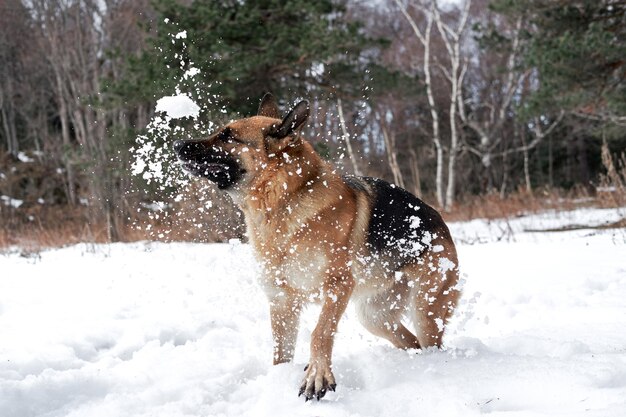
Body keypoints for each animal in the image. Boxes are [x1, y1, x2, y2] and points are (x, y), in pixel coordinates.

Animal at [174, 93, 458, 400]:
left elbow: (320, 333)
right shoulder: (282, 302)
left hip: (426, 309)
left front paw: (317, 376)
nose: (177, 144)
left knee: (429, 342)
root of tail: (439, 221)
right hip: (375, 317)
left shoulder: (337, 286)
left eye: (228, 136)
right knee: (411, 342)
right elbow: (280, 352)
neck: (284, 201)